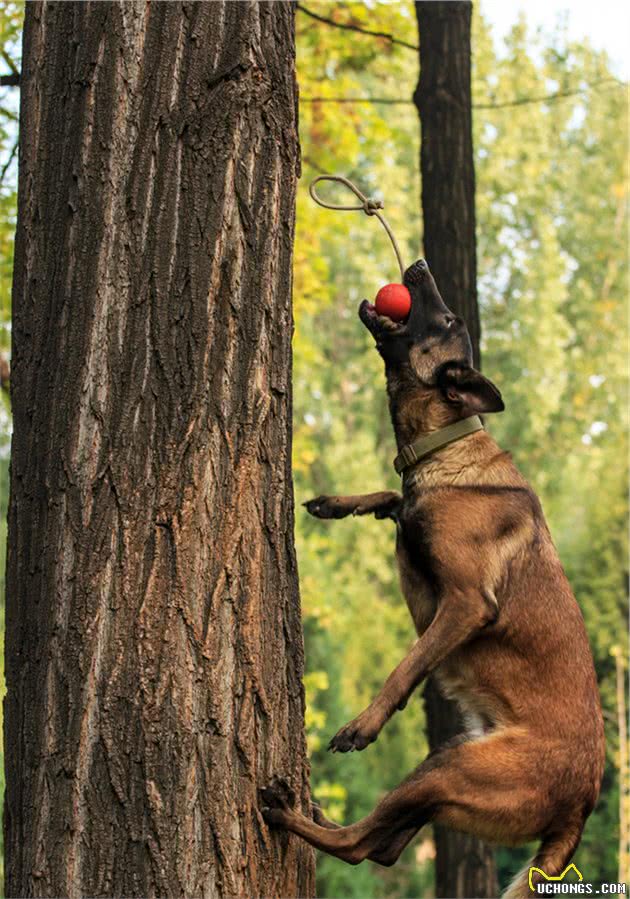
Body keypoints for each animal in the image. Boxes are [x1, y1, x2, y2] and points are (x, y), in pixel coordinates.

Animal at [262, 256, 608, 896]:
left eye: (446, 319)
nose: (418, 264)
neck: (443, 447)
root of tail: (581, 808)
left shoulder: (467, 603)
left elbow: (406, 667)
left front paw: (364, 724)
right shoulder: (414, 517)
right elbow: (395, 500)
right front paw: (339, 503)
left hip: (457, 768)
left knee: (360, 848)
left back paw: (288, 813)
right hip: (446, 766)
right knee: (384, 844)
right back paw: (314, 810)